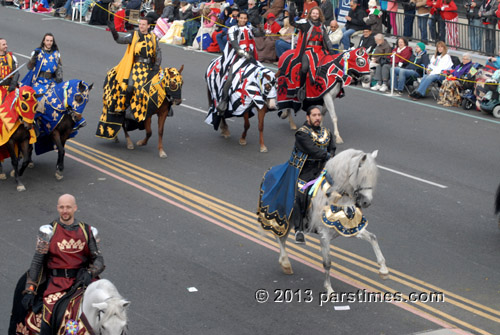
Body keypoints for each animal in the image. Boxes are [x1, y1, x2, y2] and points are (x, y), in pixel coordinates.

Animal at [276, 148, 388, 296]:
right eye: (362, 176)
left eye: (373, 177)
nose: (366, 202)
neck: (338, 198)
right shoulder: (324, 235)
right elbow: (327, 262)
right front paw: (329, 290)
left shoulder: (351, 228)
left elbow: (373, 238)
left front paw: (384, 270)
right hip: (284, 219)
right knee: (280, 238)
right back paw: (285, 262)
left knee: (282, 239)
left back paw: (285, 264)